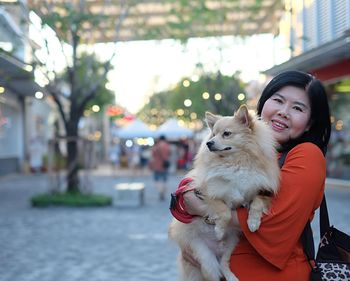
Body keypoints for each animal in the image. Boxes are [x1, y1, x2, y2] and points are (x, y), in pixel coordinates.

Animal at [168, 104, 280, 278]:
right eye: (213, 135)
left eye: (226, 134)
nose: (209, 143)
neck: (235, 162)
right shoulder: (205, 192)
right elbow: (224, 210)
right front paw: (219, 230)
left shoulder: (261, 191)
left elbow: (257, 202)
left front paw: (253, 222)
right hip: (203, 255)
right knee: (213, 272)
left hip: (230, 247)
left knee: (224, 265)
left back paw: (232, 277)